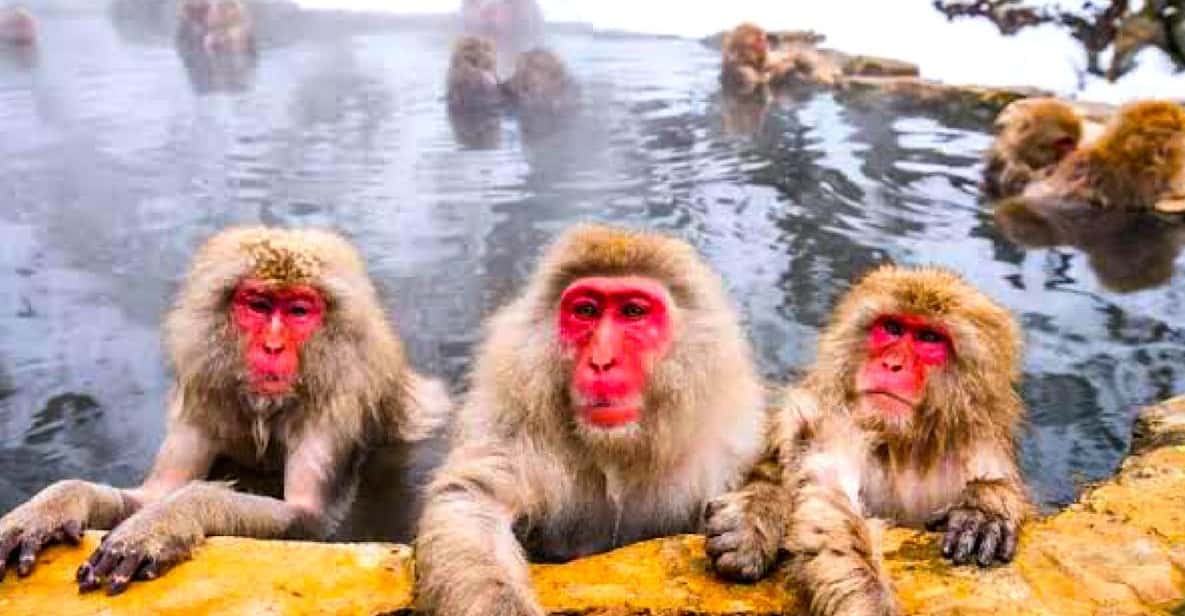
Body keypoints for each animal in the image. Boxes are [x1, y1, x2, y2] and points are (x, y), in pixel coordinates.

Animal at [0, 227, 450, 594]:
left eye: (298, 311)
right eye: (259, 305)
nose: (272, 347)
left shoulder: (337, 406)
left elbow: (311, 519)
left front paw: (169, 519)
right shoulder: (204, 398)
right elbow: (152, 493)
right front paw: (54, 505)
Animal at [415, 224, 766, 616]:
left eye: (633, 312)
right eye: (586, 310)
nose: (601, 361)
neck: (616, 450)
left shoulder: (731, 443)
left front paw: (755, 518)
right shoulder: (513, 421)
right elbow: (472, 503)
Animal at [704, 265, 1029, 616]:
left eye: (930, 338)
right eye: (892, 328)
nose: (892, 364)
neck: (904, 447)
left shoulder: (977, 443)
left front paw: (984, 507)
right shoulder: (835, 421)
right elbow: (829, 504)